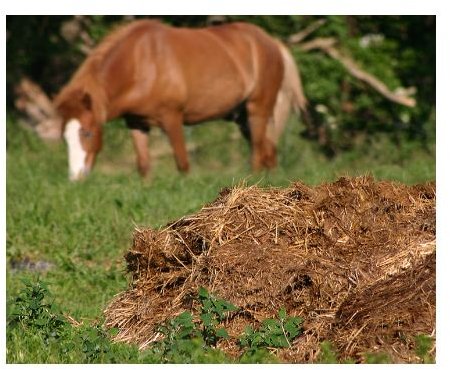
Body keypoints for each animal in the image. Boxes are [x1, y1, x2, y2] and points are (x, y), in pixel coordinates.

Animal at [51, 19, 306, 181]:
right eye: (64, 137)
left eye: (87, 133)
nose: (76, 177)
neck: (141, 63)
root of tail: (272, 42)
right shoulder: (137, 123)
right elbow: (144, 165)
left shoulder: (172, 118)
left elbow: (183, 164)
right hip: (243, 118)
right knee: (268, 151)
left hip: (258, 109)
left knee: (257, 152)